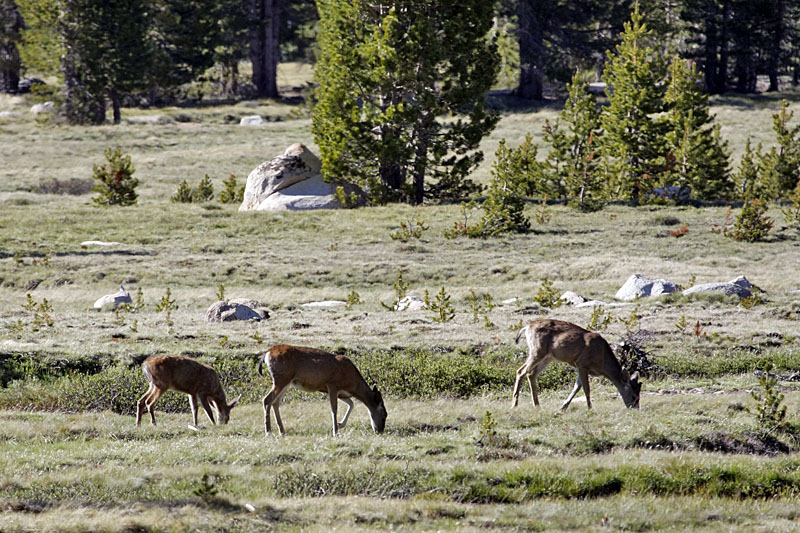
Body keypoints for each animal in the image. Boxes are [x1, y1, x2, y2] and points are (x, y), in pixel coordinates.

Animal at [258, 344, 386, 436]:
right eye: (384, 415)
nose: (380, 431)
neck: (352, 382)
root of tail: (267, 354)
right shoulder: (332, 385)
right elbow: (334, 409)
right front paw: (335, 431)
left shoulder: (342, 393)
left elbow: (352, 404)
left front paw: (339, 425)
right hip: (281, 378)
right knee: (267, 400)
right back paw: (268, 432)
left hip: (286, 382)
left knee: (275, 402)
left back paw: (282, 431)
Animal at [512, 318, 644, 410]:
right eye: (634, 396)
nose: (635, 409)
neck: (602, 360)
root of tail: (527, 327)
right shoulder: (582, 364)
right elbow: (586, 389)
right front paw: (590, 409)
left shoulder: (581, 367)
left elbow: (577, 387)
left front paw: (562, 408)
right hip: (537, 351)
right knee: (521, 371)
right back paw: (515, 405)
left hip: (548, 357)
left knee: (531, 374)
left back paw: (537, 405)